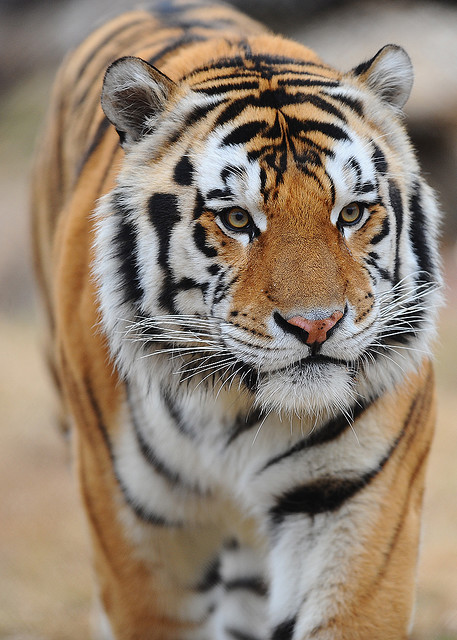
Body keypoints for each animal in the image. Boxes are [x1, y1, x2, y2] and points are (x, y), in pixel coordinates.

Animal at [31, 0, 442, 636]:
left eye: (351, 213)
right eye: (237, 220)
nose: (317, 326)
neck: (236, 408)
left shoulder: (353, 500)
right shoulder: (140, 541)